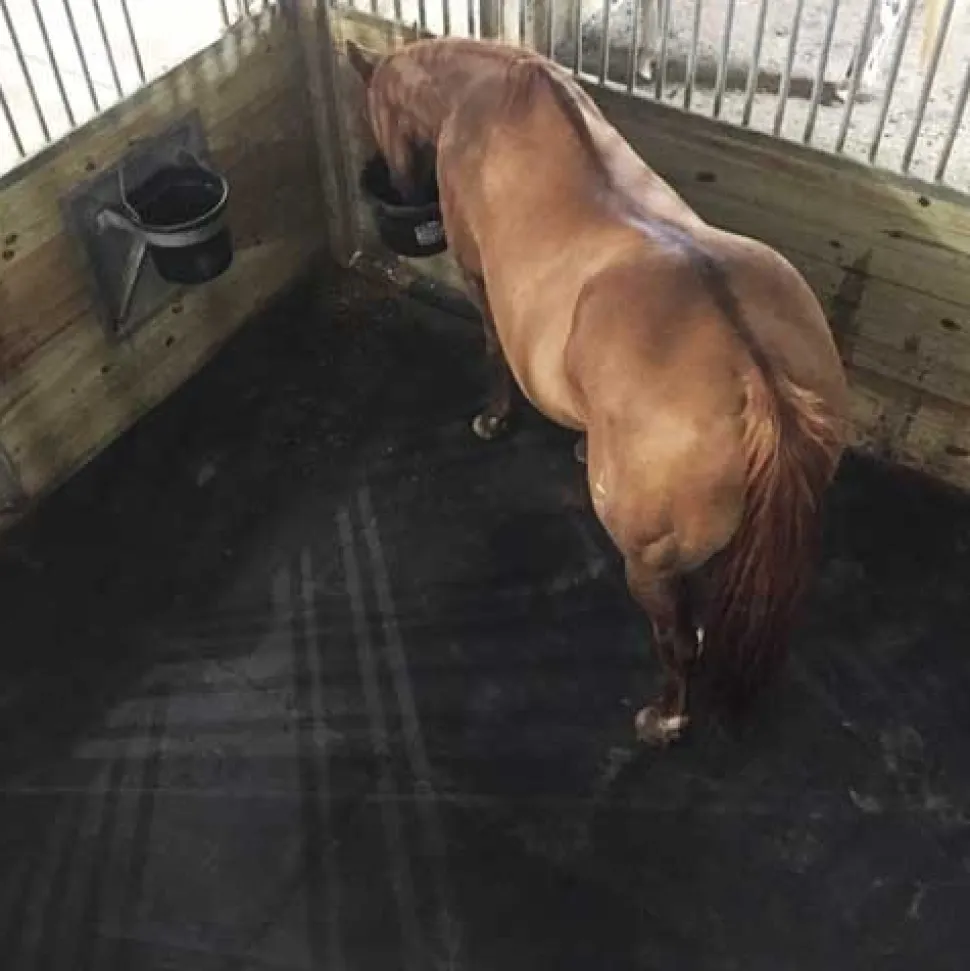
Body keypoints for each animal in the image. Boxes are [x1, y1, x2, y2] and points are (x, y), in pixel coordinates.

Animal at [346, 35, 849, 745]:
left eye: (375, 112)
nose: (398, 184)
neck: (492, 93)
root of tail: (758, 383)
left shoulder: (477, 279)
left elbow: (492, 352)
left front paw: (494, 419)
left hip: (647, 566)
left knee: (677, 644)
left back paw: (665, 717)